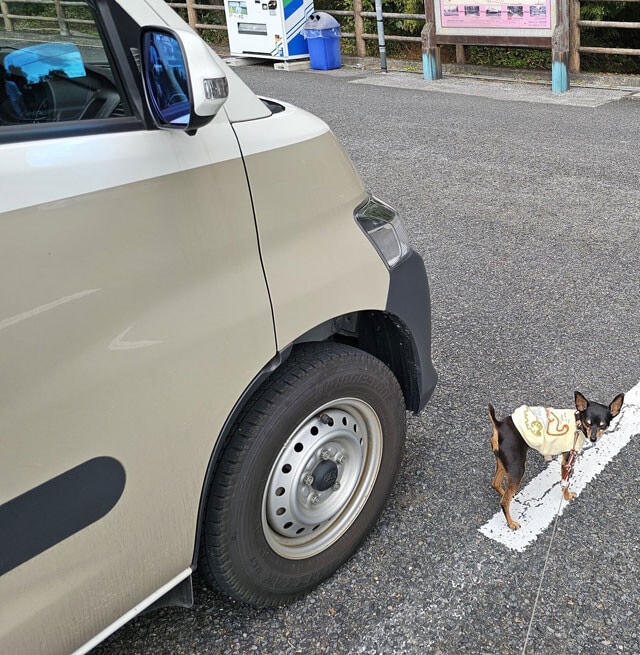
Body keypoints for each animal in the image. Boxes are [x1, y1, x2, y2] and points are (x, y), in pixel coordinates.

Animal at [488, 392, 624, 532]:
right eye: (588, 423)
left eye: (603, 425)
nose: (593, 439)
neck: (578, 423)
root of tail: (498, 425)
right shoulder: (567, 461)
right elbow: (565, 483)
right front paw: (567, 496)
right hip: (517, 468)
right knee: (504, 501)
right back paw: (511, 522)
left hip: (504, 463)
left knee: (496, 484)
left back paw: (509, 495)